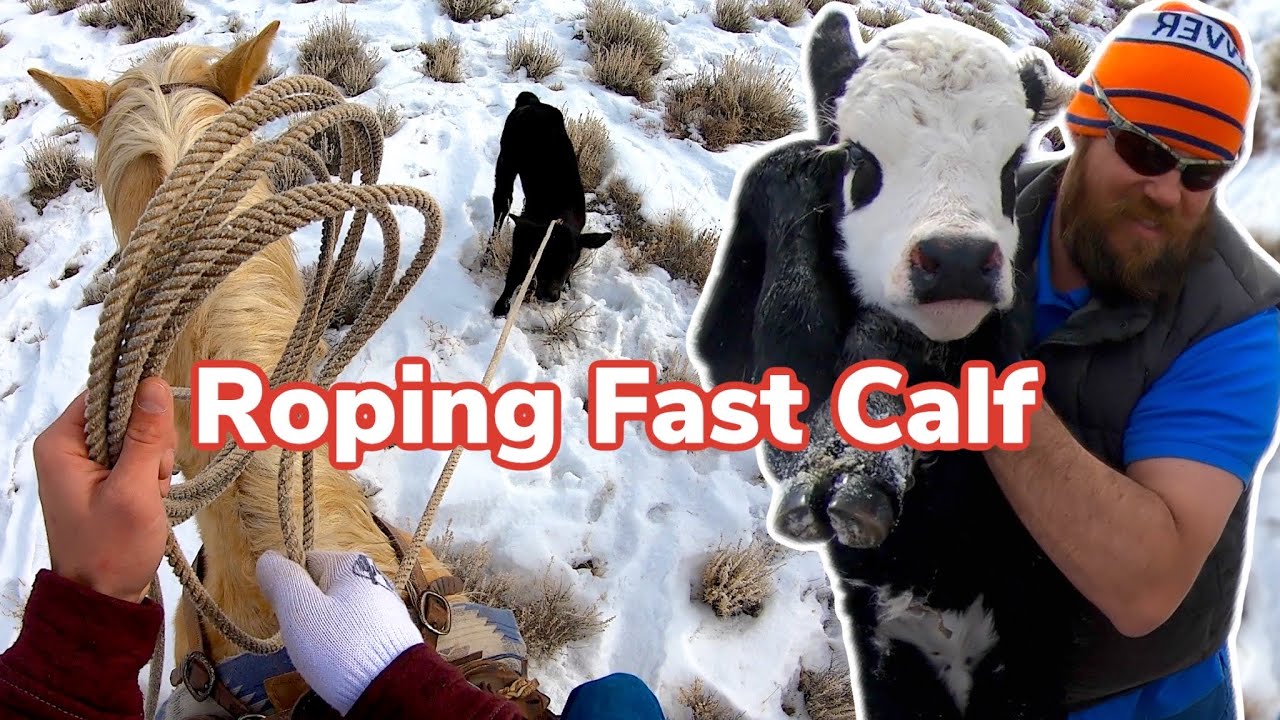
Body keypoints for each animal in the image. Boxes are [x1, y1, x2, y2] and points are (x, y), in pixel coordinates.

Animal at [489, 90, 611, 317]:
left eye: (571, 262)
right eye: (544, 258)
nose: (550, 295)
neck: (561, 216)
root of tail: (531, 102)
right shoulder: (523, 234)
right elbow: (516, 273)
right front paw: (501, 306)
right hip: (506, 162)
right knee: (501, 207)